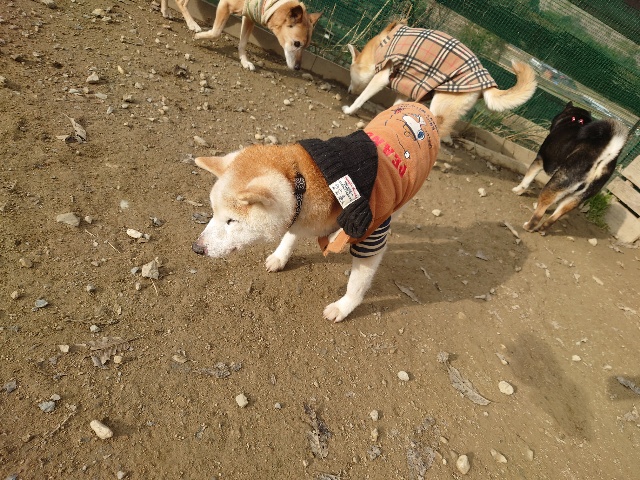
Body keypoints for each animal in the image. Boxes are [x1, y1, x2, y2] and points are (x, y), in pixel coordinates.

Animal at [161, 0, 321, 70]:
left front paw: (245, 61)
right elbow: (216, 32)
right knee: (181, 2)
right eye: (296, 43)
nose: (298, 68)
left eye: (306, 47)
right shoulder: (225, 5)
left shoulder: (249, 17)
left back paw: (165, 10)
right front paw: (199, 36)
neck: (270, 5)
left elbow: (243, 43)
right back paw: (192, 23)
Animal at [192, 102, 440, 322]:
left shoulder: (371, 235)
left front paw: (343, 307)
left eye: (231, 221)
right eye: (213, 213)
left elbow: (357, 284)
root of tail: (421, 108)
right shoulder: (299, 213)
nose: (197, 248)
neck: (308, 180)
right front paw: (281, 256)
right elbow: (291, 235)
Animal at [342, 21, 537, 139]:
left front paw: (350, 109)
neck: (379, 46)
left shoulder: (382, 76)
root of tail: (486, 80)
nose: (349, 91)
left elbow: (362, 98)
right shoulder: (404, 87)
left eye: (351, 76)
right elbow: (396, 108)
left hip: (439, 105)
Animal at [512, 102, 628, 234]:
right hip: (574, 198)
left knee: (539, 214)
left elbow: (526, 180)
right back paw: (542, 229)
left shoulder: (539, 160)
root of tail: (603, 156)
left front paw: (517, 190)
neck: (576, 120)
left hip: (556, 184)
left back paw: (528, 226)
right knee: (553, 217)